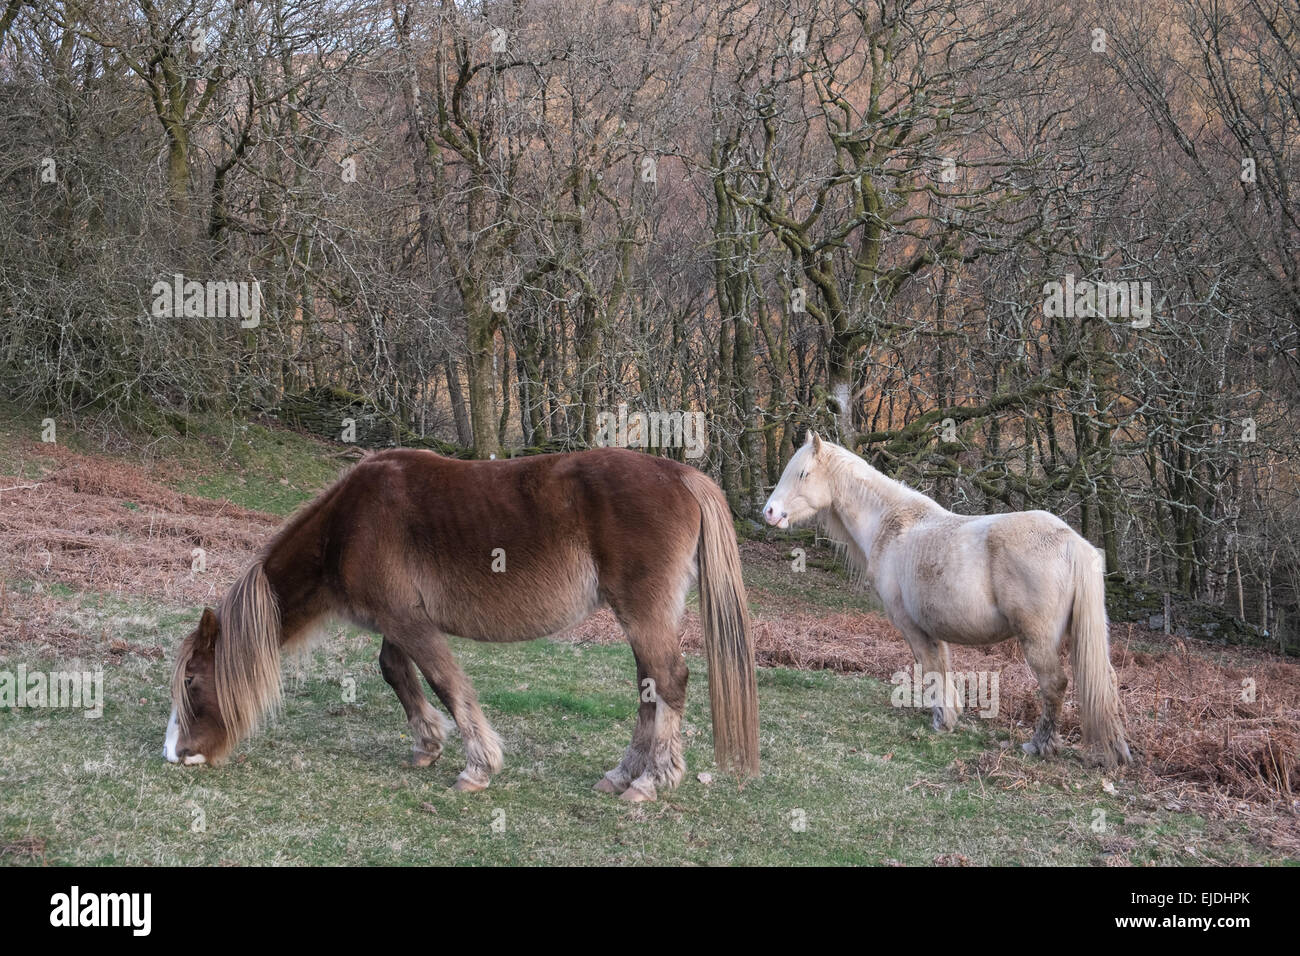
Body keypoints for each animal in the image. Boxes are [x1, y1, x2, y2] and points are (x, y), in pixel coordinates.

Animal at [163, 447, 760, 802]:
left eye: (192, 683)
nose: (177, 755)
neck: (347, 525)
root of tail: (681, 474)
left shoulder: (409, 621)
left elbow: (446, 683)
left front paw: (478, 767)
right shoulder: (397, 620)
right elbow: (394, 670)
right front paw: (427, 746)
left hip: (643, 612)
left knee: (668, 681)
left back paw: (652, 781)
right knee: (649, 687)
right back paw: (623, 775)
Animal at [762, 432, 1132, 768]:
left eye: (803, 473)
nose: (769, 512)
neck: (891, 525)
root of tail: (1072, 542)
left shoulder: (911, 626)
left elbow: (930, 667)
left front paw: (942, 720)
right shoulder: (931, 628)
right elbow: (941, 666)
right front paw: (950, 715)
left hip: (1038, 639)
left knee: (1054, 684)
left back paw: (1040, 745)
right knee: (1106, 682)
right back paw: (1115, 751)